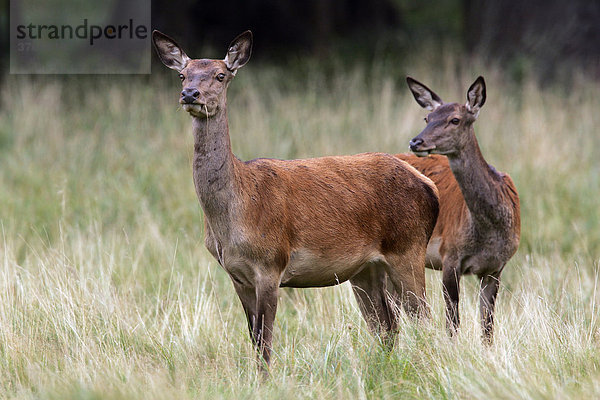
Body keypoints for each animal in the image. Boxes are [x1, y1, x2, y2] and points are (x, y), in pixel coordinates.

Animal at [152, 29, 438, 370]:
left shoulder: (271, 263)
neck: (234, 215)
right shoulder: (237, 275)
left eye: (220, 75)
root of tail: (428, 186)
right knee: (388, 326)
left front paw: (265, 378)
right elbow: (254, 338)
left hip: (407, 248)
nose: (190, 94)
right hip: (366, 269)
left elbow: (266, 342)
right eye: (182, 74)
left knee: (424, 320)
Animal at [396, 76, 516, 344]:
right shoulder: (449, 256)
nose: (416, 142)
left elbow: (487, 328)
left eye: (455, 120)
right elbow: (452, 324)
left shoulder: (496, 267)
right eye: (427, 118)